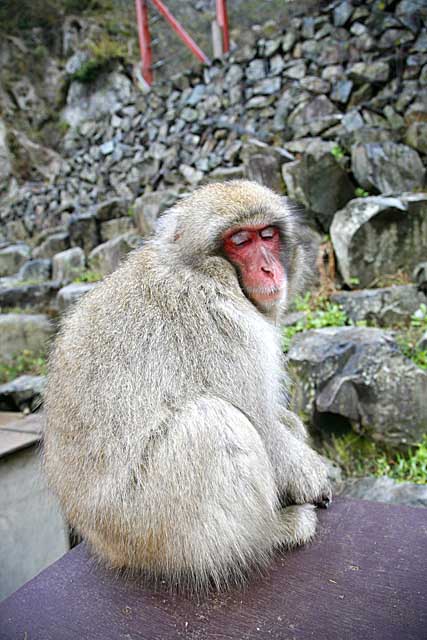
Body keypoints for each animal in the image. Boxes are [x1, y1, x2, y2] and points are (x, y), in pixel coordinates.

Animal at [43, 179, 332, 592]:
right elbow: (257, 420)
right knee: (212, 422)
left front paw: (292, 427)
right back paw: (264, 536)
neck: (199, 269)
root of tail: (106, 545)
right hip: (147, 525)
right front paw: (311, 477)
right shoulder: (217, 318)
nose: (269, 268)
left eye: (267, 235)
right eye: (240, 241)